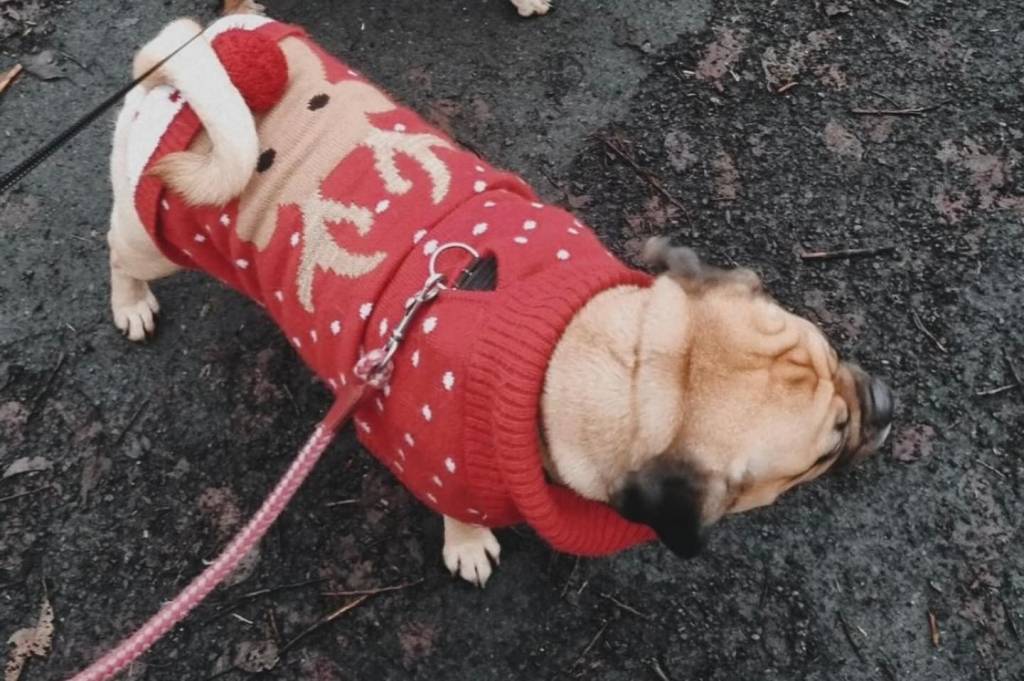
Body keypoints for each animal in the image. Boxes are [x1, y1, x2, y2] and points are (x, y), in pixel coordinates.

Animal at [106, 7, 893, 586]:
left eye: (837, 354)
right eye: (824, 450)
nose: (885, 402)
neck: (582, 344)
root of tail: (179, 81)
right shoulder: (437, 466)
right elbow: (458, 516)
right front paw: (468, 543)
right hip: (155, 237)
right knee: (118, 247)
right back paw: (130, 303)